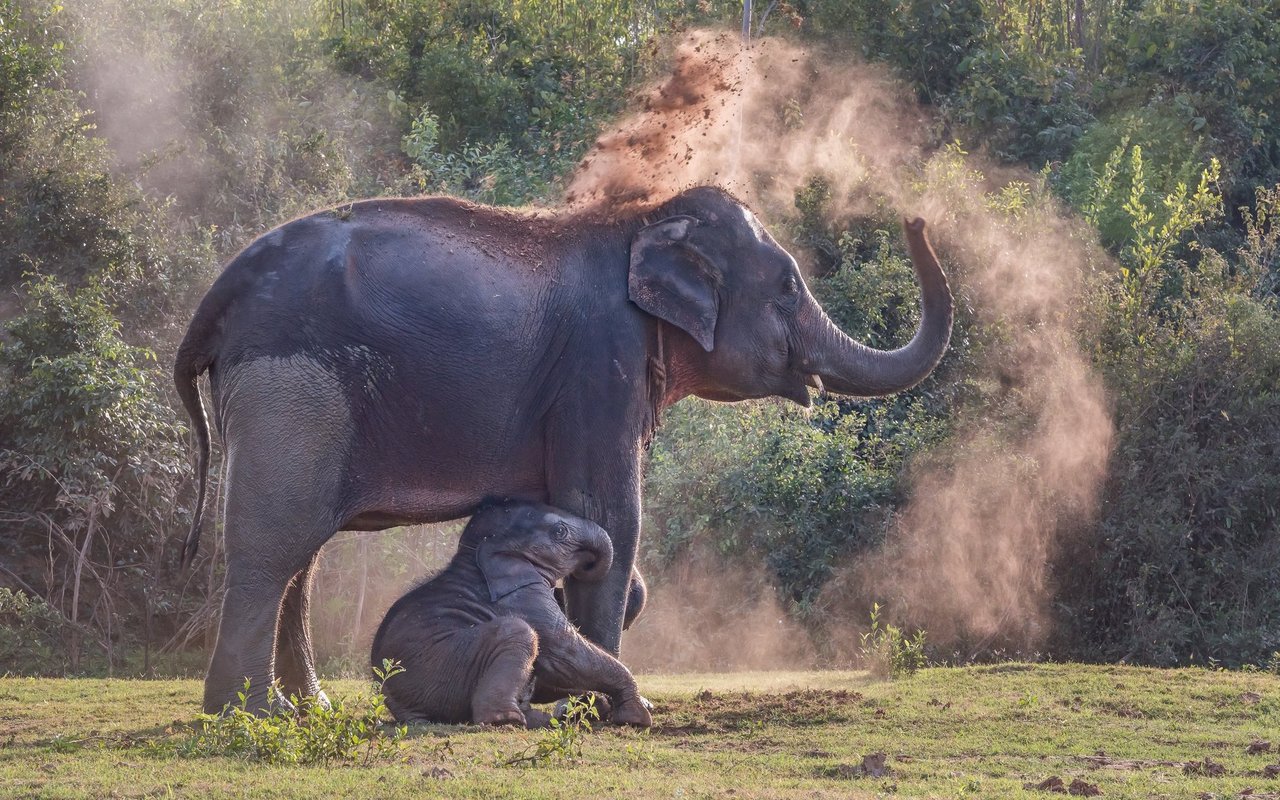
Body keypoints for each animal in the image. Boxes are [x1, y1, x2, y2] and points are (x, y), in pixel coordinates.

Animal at [368, 501, 650, 727]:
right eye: (560, 531)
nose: (589, 565)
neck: (471, 556)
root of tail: (396, 706)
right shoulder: (523, 595)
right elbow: (563, 655)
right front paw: (636, 716)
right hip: (438, 671)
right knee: (518, 632)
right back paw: (509, 720)